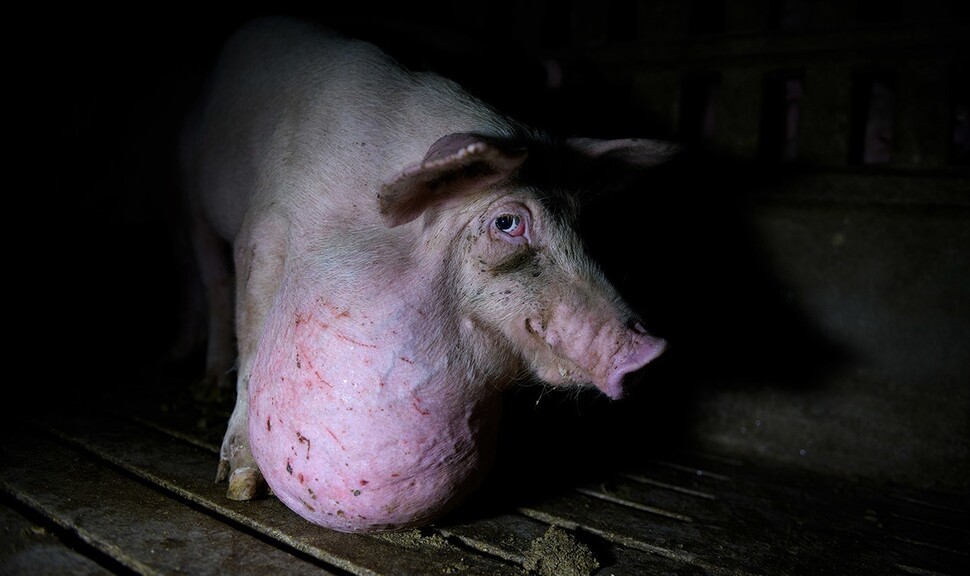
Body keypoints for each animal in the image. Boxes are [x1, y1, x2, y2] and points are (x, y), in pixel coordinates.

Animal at [178, 15, 668, 532]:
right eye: (507, 222)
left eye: (577, 222)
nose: (650, 351)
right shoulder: (263, 231)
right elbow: (250, 337)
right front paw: (241, 487)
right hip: (188, 185)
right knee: (210, 282)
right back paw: (205, 380)